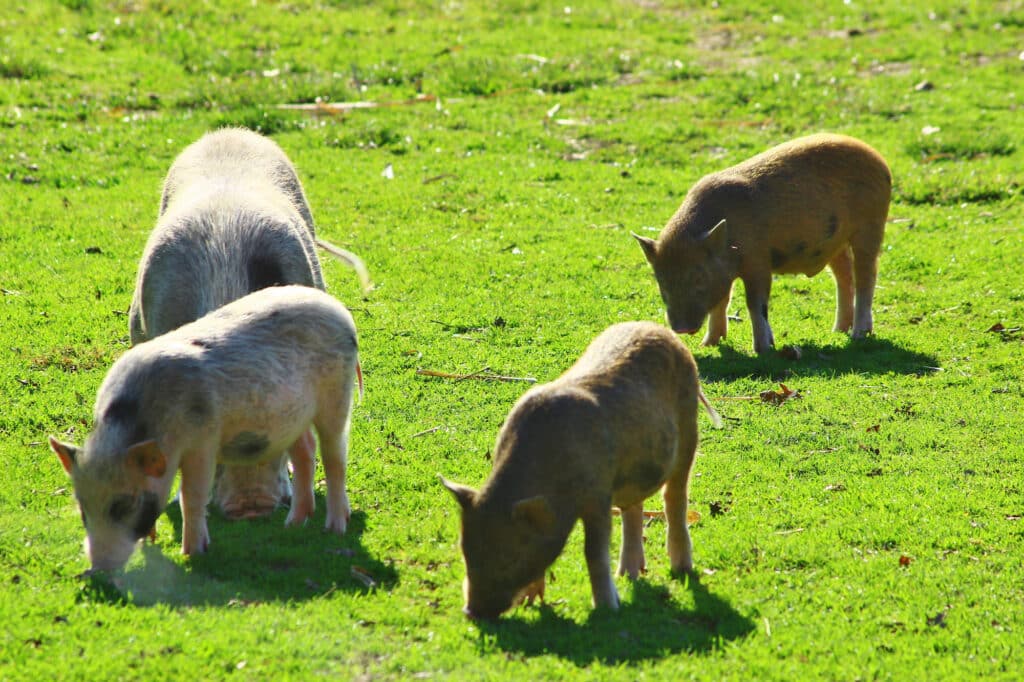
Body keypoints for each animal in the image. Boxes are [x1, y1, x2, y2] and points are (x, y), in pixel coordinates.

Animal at [48, 284, 360, 569]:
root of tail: (338, 309)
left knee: (334, 458)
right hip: (292, 418)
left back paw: (334, 529)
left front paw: (192, 554)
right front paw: (153, 541)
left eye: (123, 505)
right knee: (305, 452)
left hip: (337, 396)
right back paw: (293, 524)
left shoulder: (203, 441)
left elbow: (192, 496)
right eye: (83, 509)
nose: (96, 571)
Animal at [438, 319, 720, 614]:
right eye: (465, 552)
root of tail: (661, 330)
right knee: (634, 510)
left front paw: (608, 609)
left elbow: (593, 551)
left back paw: (681, 570)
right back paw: (627, 575)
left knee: (675, 498)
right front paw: (530, 602)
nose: (471, 612)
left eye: (510, 558)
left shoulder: (598, 495)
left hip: (689, 430)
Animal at [630, 134, 888, 356]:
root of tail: (878, 158)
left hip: (870, 226)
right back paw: (838, 330)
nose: (682, 328)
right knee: (844, 277)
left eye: (698, 278)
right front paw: (709, 344)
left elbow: (754, 302)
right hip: (836, 243)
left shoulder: (758, 260)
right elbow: (722, 301)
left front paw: (763, 349)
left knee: (866, 276)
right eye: (662, 281)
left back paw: (858, 335)